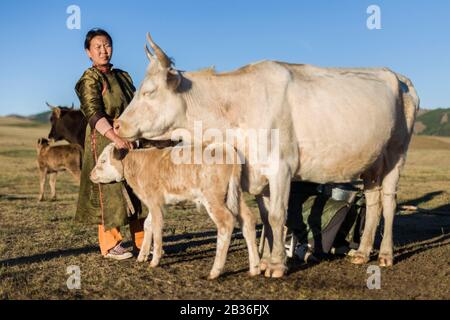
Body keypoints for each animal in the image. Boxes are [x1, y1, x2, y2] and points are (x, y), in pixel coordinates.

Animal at [90, 143, 260, 280]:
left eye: (103, 160)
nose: (91, 175)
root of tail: (225, 148)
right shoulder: (156, 203)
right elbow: (148, 224)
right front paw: (142, 256)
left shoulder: (155, 201)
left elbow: (157, 227)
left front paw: (154, 261)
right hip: (235, 196)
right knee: (248, 219)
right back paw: (255, 269)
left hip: (213, 198)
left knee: (226, 222)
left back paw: (215, 272)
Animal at [114, 33, 420, 278]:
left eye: (149, 91)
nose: (116, 124)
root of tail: (397, 76)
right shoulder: (255, 174)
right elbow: (265, 219)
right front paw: (263, 262)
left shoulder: (281, 168)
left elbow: (276, 216)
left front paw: (276, 266)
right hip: (371, 161)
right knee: (373, 201)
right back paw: (363, 252)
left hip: (396, 153)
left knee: (389, 202)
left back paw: (385, 255)